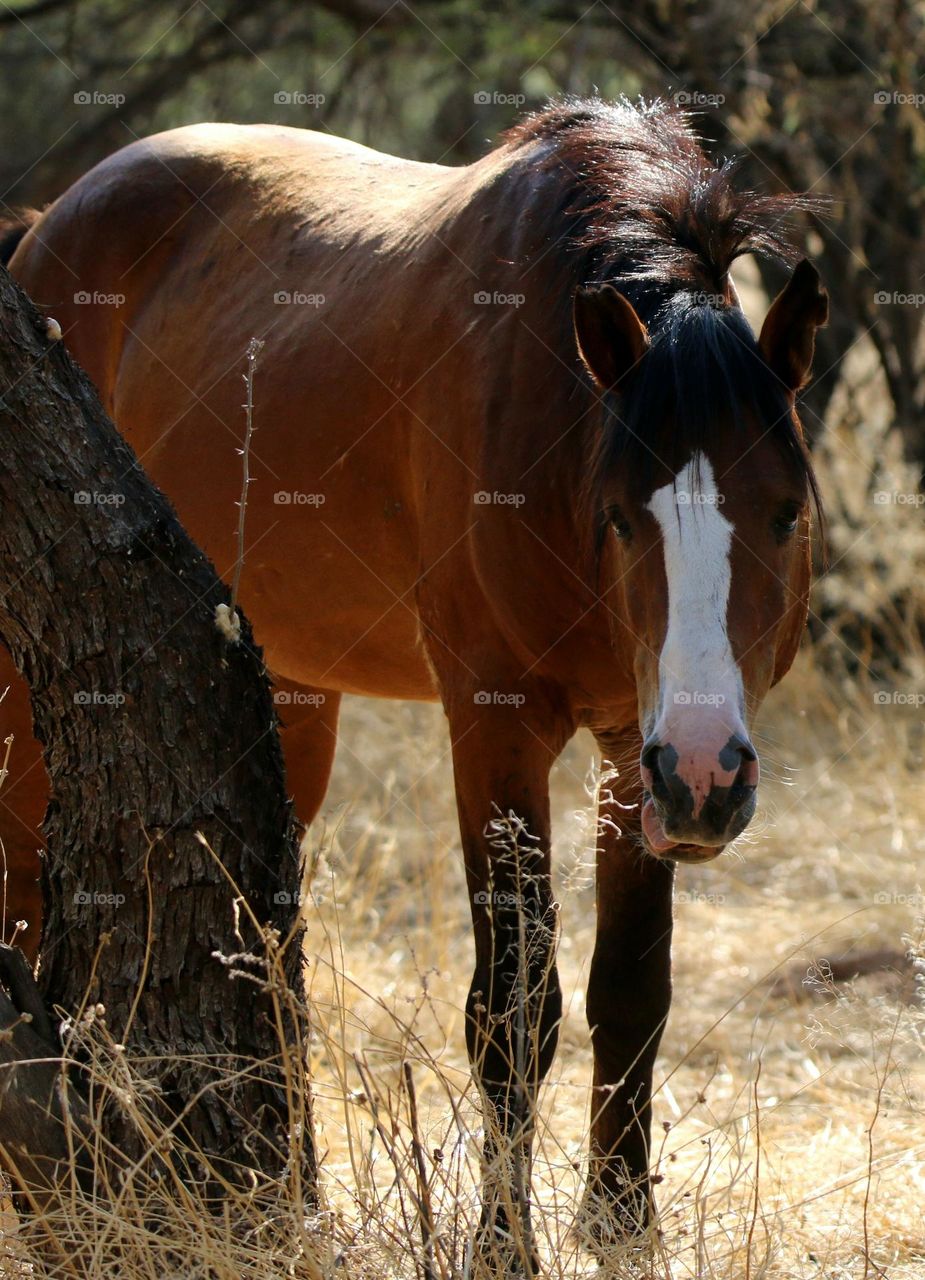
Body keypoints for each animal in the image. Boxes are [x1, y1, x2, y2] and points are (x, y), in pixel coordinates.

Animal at [1, 97, 826, 1264]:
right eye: (620, 517)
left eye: (785, 512)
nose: (708, 774)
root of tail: (45, 227)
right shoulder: (496, 731)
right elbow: (513, 1011)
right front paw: (502, 1246)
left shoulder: (635, 744)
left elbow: (632, 988)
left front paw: (622, 1226)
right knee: (27, 906)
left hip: (294, 692)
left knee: (263, 942)